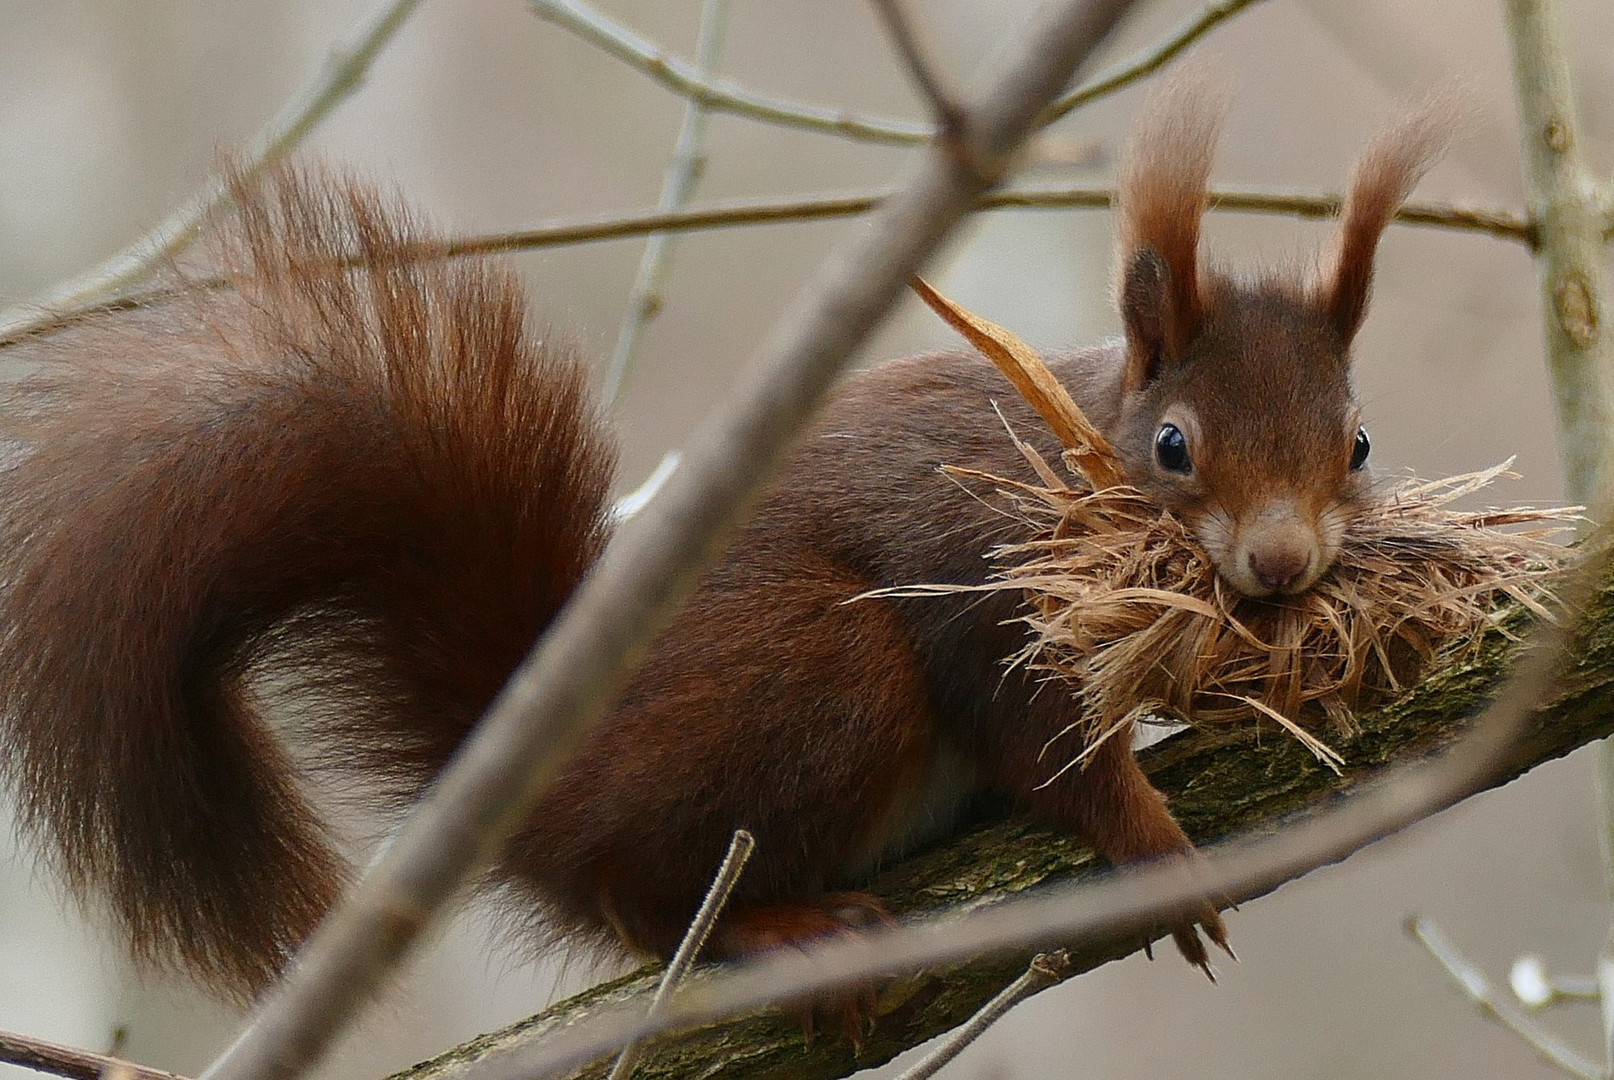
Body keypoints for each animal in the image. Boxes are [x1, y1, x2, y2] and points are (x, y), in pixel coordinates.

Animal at [0, 86, 1439, 1000]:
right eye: (1175, 447)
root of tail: (557, 783)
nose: (1279, 564)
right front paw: (1154, 851)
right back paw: (779, 931)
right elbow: (1047, 750)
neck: (1071, 452)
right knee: (643, 901)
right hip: (816, 676)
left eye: (1359, 442)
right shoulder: (984, 586)